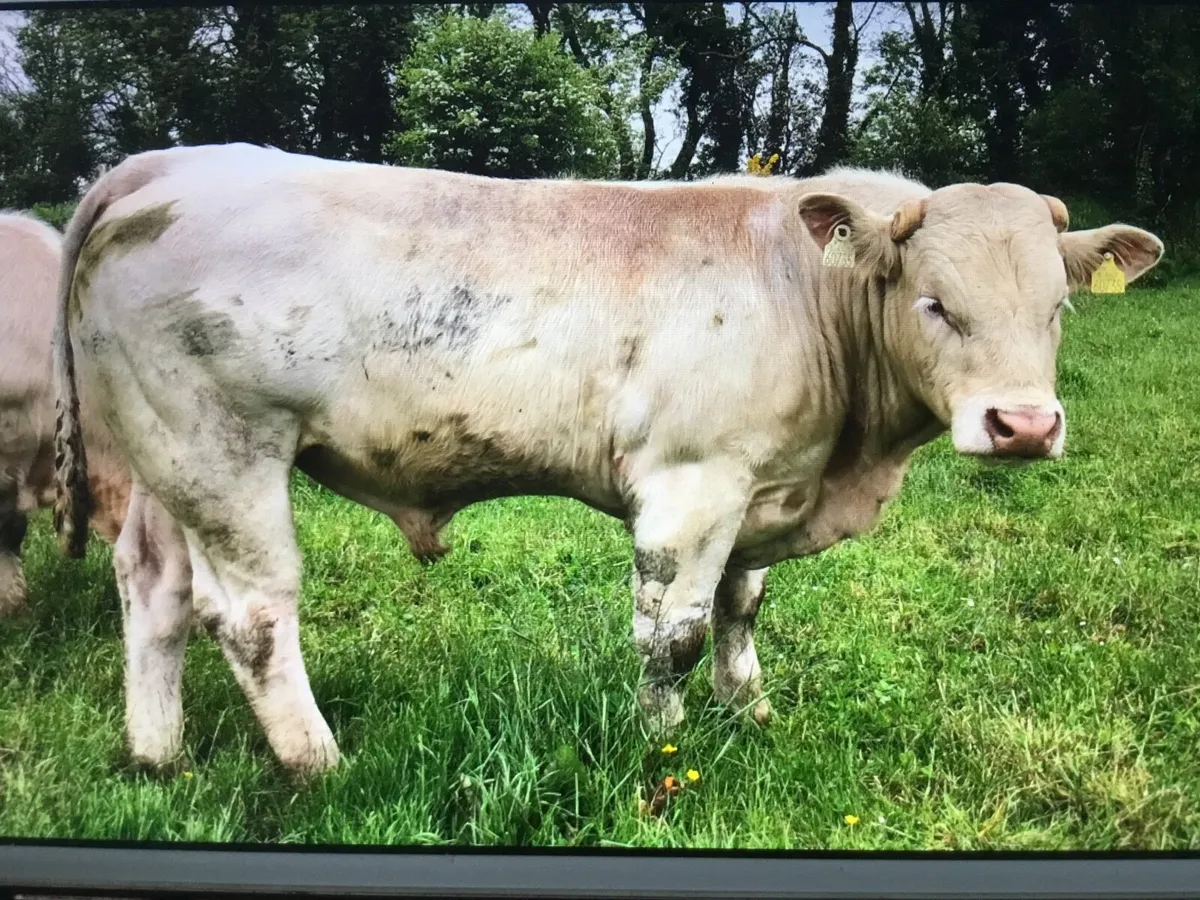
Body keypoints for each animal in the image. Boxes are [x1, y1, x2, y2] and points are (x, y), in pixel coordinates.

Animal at [50, 144, 1164, 775]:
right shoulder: (691, 483)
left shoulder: (758, 483)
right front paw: (661, 742)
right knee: (250, 614)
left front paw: (749, 710)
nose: (1023, 425)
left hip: (166, 456)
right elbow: (671, 634)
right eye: (935, 303)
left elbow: (741, 606)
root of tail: (168, 164)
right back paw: (318, 762)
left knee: (152, 586)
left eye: (1056, 308)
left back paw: (157, 755)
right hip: (227, 449)